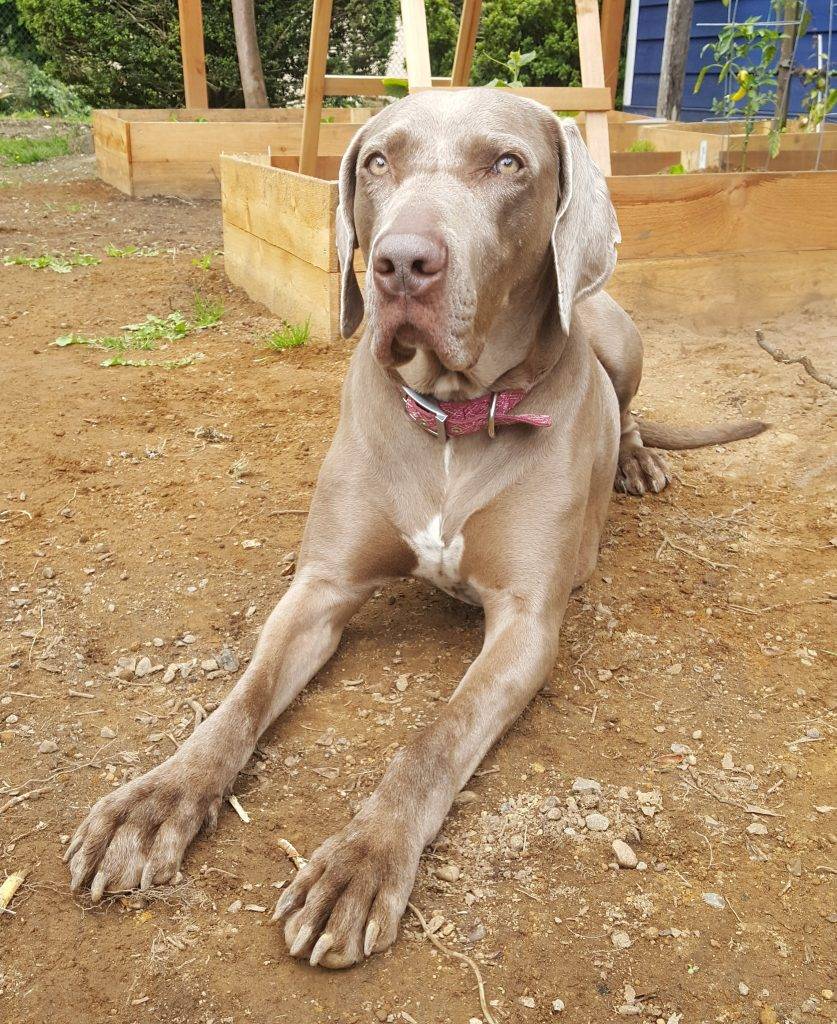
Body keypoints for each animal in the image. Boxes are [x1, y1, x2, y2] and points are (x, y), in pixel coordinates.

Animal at [67, 88, 762, 966]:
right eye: (376, 161)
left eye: (508, 163)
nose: (400, 262)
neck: (452, 419)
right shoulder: (320, 587)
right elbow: (240, 702)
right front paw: (155, 798)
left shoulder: (526, 624)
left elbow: (433, 737)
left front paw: (361, 862)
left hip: (616, 331)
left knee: (628, 405)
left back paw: (634, 462)